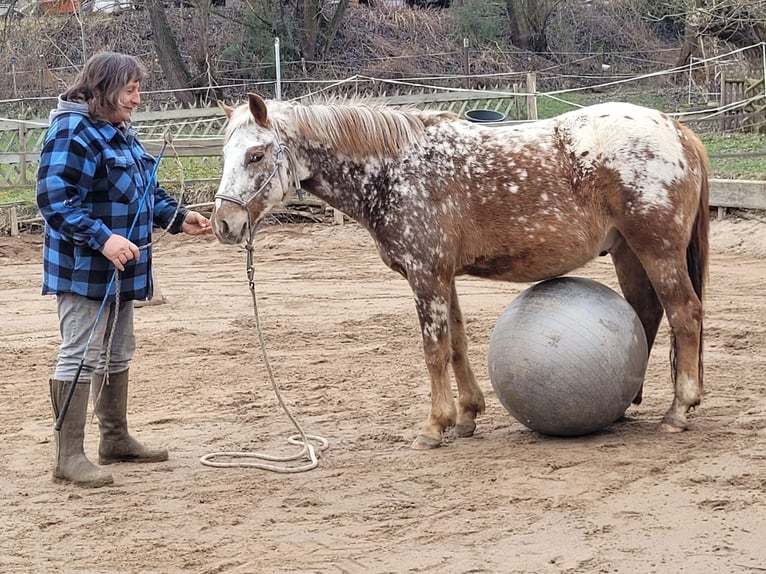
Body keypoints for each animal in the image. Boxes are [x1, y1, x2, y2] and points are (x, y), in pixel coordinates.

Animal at [211, 93, 709, 450]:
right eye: (225, 153)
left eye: (256, 155)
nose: (223, 223)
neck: (394, 170)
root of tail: (678, 130)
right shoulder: (443, 276)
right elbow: (457, 343)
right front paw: (467, 415)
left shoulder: (425, 274)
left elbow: (433, 349)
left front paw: (435, 426)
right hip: (629, 253)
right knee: (647, 314)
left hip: (657, 250)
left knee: (685, 315)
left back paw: (679, 411)